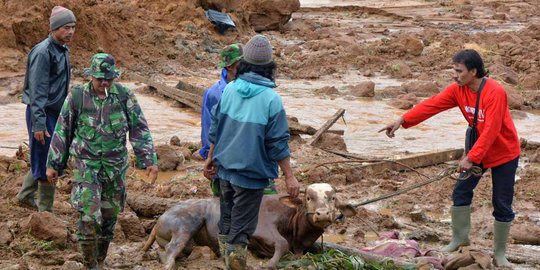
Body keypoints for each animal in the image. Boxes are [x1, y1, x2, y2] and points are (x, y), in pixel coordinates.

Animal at [141, 182, 356, 268]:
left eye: (332, 198)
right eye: (309, 198)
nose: (322, 214)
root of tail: (161, 217)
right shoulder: (262, 228)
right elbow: (282, 244)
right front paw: (269, 264)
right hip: (185, 226)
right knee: (170, 250)